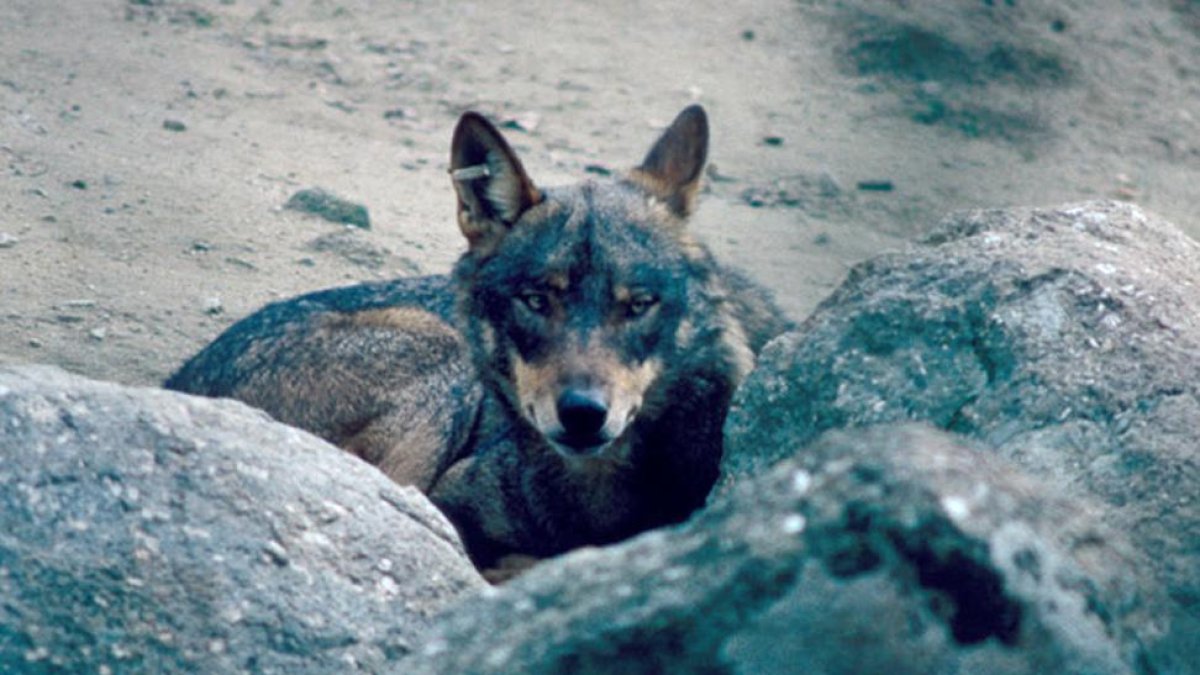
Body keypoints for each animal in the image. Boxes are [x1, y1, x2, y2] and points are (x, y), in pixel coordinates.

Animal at [165, 105, 789, 576]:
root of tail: (179, 378)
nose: (583, 414)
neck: (597, 496)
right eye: (536, 300)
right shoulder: (448, 498)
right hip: (445, 358)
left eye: (637, 305)